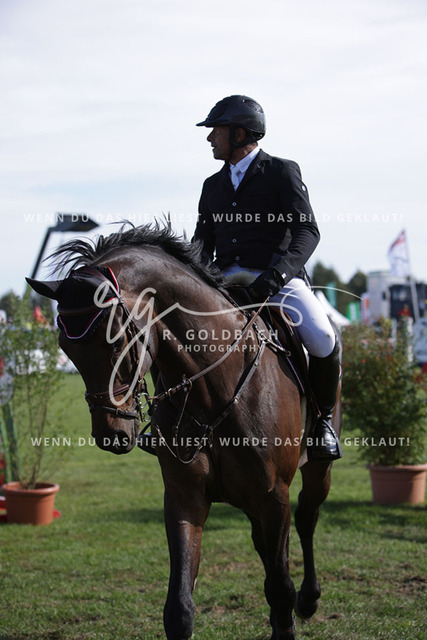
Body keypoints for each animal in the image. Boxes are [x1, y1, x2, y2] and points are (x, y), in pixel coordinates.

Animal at [27, 223, 341, 640]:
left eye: (117, 340)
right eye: (65, 346)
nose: (111, 434)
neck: (215, 386)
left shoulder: (274, 495)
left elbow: (280, 587)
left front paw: (290, 613)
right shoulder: (184, 496)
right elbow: (179, 608)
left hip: (316, 468)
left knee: (307, 518)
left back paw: (309, 599)